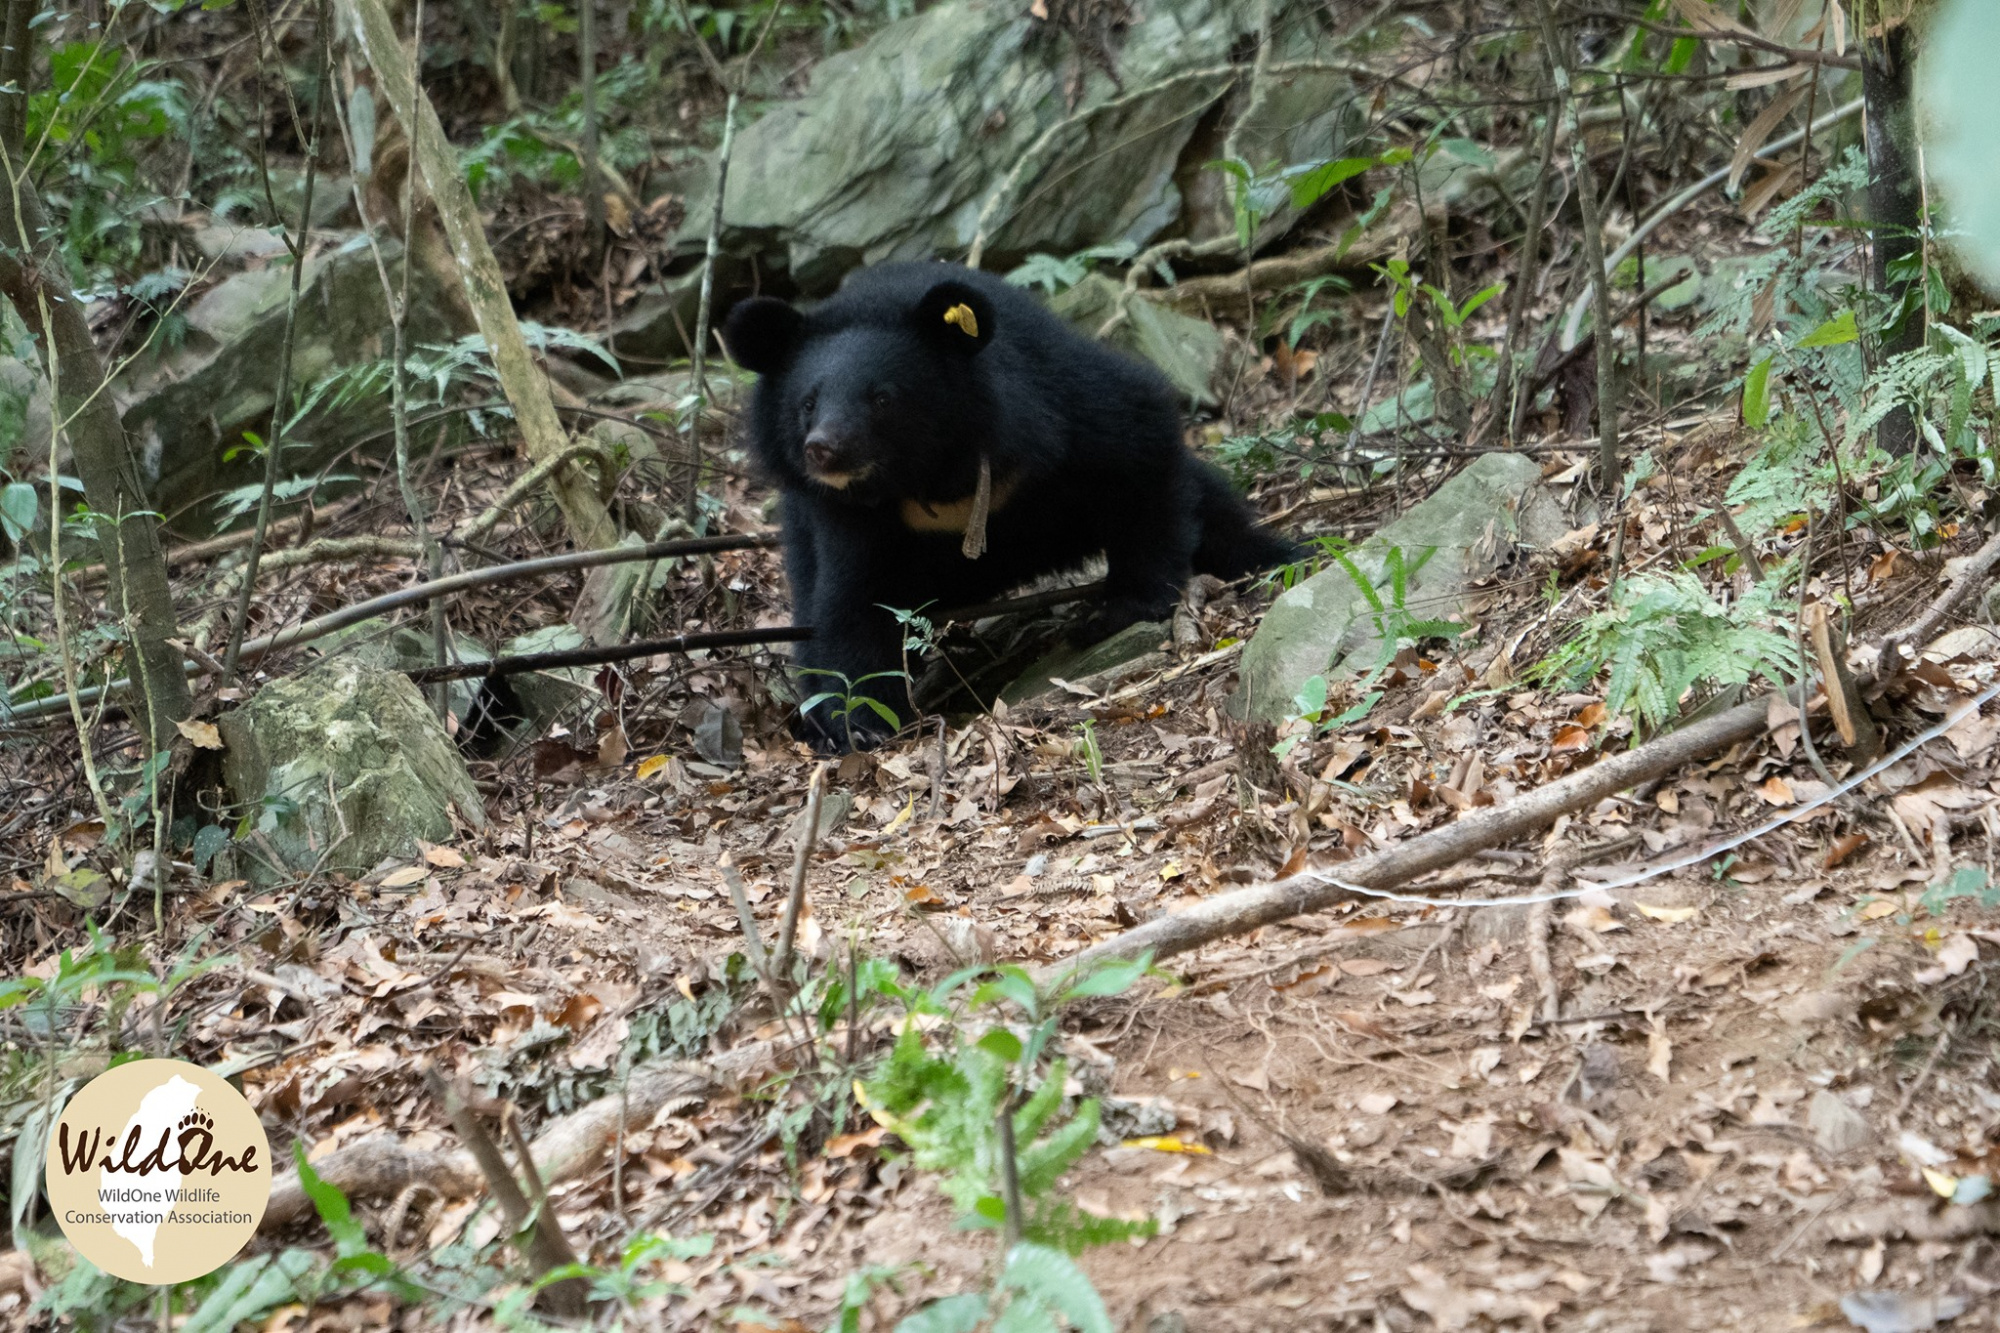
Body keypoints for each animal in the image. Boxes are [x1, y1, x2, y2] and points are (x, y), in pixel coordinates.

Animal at [720, 262, 1296, 748]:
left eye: (882, 398)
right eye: (808, 403)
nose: (824, 449)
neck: (933, 476)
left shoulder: (1056, 411)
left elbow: (1139, 451)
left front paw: (1121, 607)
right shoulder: (850, 517)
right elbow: (853, 600)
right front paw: (856, 723)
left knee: (1211, 503)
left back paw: (1279, 555)